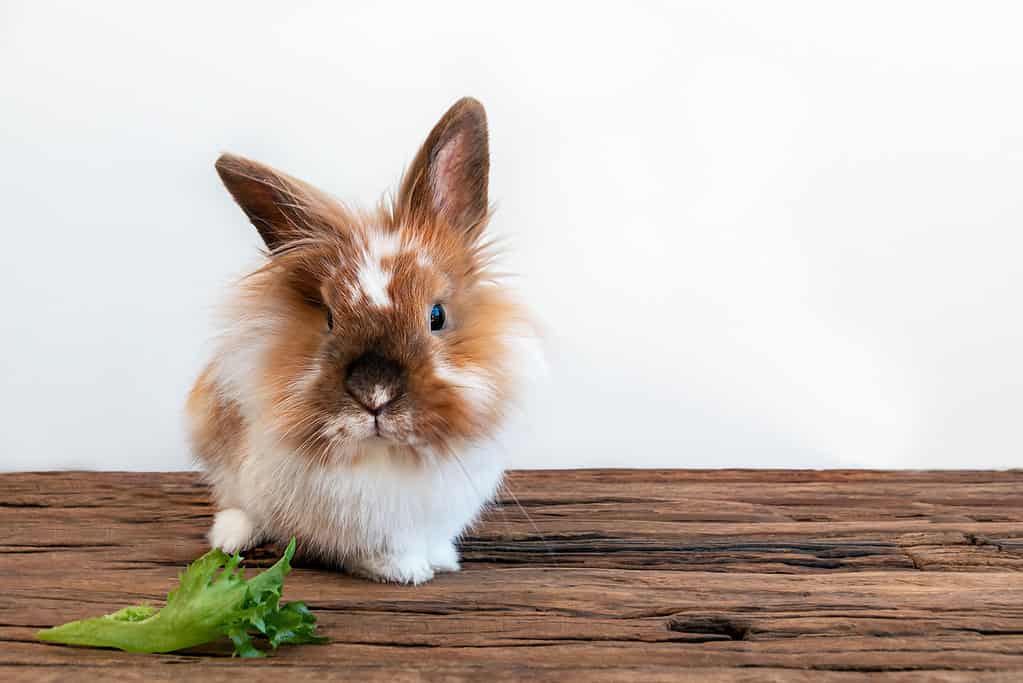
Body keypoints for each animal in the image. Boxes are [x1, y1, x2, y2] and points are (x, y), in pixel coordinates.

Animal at [185, 97, 540, 588]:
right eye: (330, 318)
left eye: (437, 316)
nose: (375, 394)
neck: (388, 454)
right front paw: (404, 570)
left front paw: (441, 559)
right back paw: (230, 536)